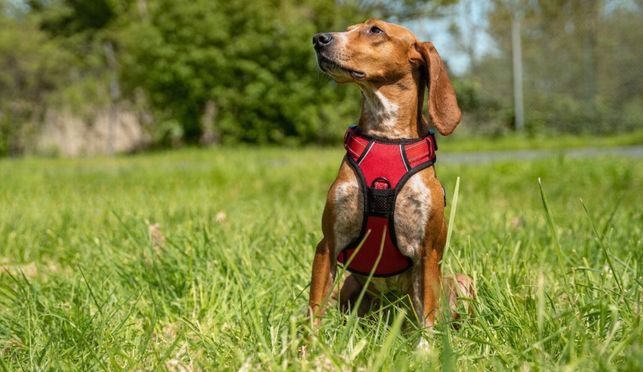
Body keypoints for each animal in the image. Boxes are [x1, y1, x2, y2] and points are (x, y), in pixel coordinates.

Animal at [310, 18, 476, 344]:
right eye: (348, 28)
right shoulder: (328, 245)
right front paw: (306, 349)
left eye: (375, 30)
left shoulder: (427, 252)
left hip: (461, 282)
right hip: (351, 285)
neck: (387, 136)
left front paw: (425, 350)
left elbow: (427, 317)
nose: (318, 39)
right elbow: (314, 313)